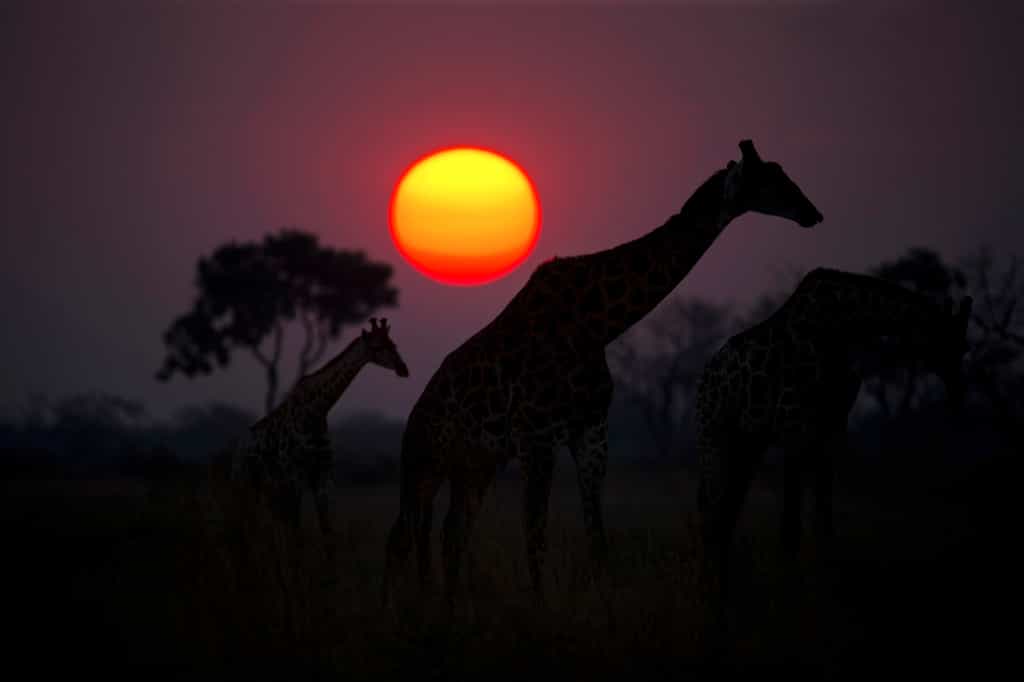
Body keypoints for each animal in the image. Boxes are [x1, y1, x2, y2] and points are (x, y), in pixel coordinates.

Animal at [231, 317, 410, 537]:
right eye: (377, 347)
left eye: (394, 344)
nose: (403, 369)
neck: (316, 412)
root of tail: (238, 450)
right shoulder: (295, 474)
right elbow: (296, 529)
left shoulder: (323, 474)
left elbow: (327, 530)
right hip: (247, 482)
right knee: (247, 523)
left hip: (267, 487)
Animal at [383, 139, 824, 607]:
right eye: (769, 180)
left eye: (784, 174)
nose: (812, 213)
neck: (600, 324)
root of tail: (412, 420)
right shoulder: (536, 437)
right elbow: (535, 537)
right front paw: (540, 611)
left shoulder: (591, 431)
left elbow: (597, 540)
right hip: (424, 464)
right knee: (402, 537)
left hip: (474, 465)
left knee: (451, 534)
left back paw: (448, 608)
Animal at [693, 267, 972, 609]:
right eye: (950, 344)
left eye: (965, 347)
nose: (958, 394)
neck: (843, 326)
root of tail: (704, 383)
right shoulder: (793, 428)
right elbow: (791, 528)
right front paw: (792, 597)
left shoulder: (831, 429)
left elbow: (823, 521)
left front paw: (827, 590)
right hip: (715, 436)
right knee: (711, 516)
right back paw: (711, 602)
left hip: (747, 444)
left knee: (725, 516)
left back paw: (722, 597)